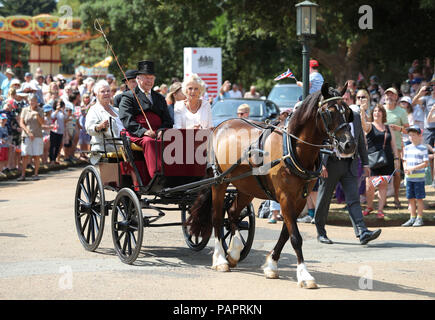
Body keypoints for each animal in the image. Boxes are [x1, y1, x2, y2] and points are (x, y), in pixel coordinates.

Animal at [186, 82, 356, 288]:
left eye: (348, 111)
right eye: (329, 112)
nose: (349, 145)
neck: (291, 148)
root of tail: (220, 126)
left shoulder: (299, 199)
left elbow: (286, 234)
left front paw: (272, 265)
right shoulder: (285, 198)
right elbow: (295, 237)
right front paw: (304, 275)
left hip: (246, 187)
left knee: (233, 213)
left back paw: (234, 251)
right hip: (219, 183)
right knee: (217, 217)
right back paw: (220, 259)